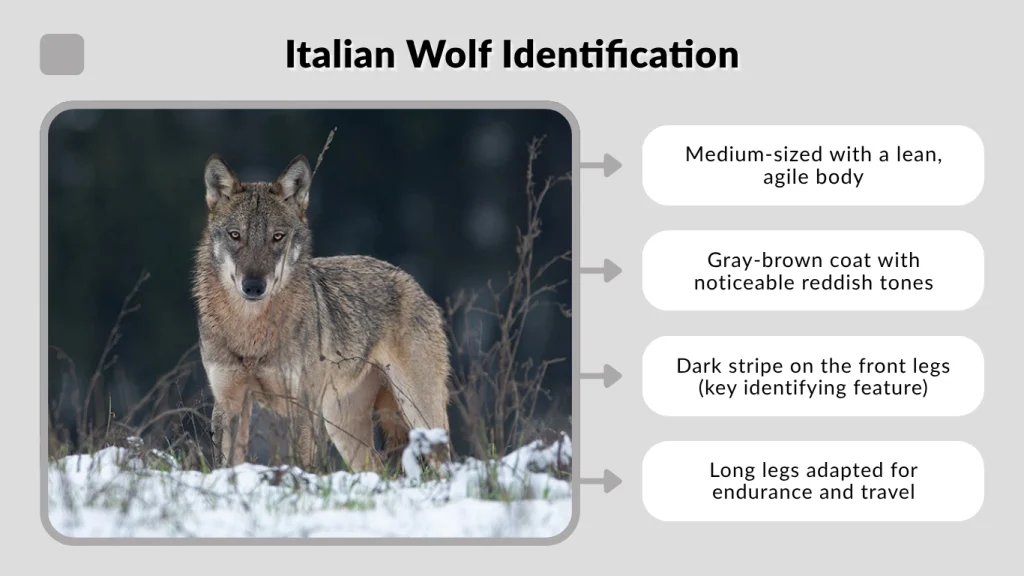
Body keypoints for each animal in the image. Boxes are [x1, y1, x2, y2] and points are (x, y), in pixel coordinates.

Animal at [192, 153, 451, 473]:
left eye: (277, 237)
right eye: (235, 235)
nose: (253, 286)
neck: (251, 331)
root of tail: (412, 281)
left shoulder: (302, 405)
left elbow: (304, 463)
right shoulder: (229, 402)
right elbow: (226, 464)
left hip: (419, 414)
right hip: (343, 428)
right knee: (377, 469)